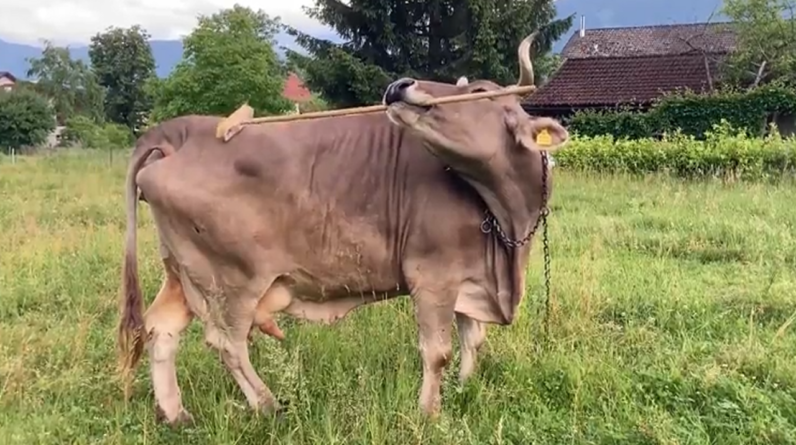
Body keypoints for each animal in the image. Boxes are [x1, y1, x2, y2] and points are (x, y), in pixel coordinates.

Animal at [117, 31, 570, 426]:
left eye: (477, 93)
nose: (400, 84)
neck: (506, 221)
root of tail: (183, 129)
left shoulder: (470, 276)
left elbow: (472, 340)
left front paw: (464, 391)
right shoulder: (433, 275)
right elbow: (437, 350)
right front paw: (429, 413)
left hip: (183, 272)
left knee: (161, 328)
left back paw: (176, 414)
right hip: (231, 279)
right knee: (227, 341)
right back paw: (269, 406)